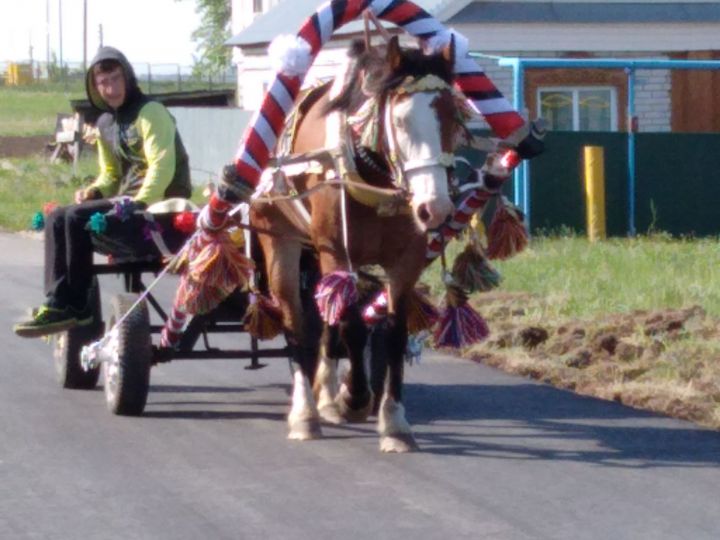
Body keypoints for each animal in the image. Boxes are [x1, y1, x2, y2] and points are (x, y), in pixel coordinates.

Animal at [250, 34, 470, 452]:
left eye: (455, 117)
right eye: (399, 120)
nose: (434, 208)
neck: (375, 174)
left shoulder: (406, 260)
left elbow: (393, 332)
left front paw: (394, 422)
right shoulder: (336, 251)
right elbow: (350, 325)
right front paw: (353, 398)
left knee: (325, 318)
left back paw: (326, 395)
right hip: (281, 243)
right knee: (296, 322)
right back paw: (306, 412)